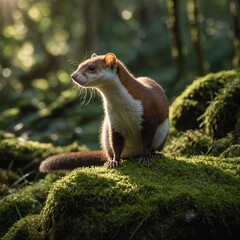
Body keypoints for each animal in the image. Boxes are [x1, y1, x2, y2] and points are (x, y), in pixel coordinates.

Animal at [39, 53, 170, 172]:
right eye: (79, 65)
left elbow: (147, 141)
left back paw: (156, 154)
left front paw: (146, 157)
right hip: (105, 136)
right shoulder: (114, 120)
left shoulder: (149, 115)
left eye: (91, 67)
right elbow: (116, 144)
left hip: (163, 132)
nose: (73, 75)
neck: (124, 108)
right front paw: (114, 162)